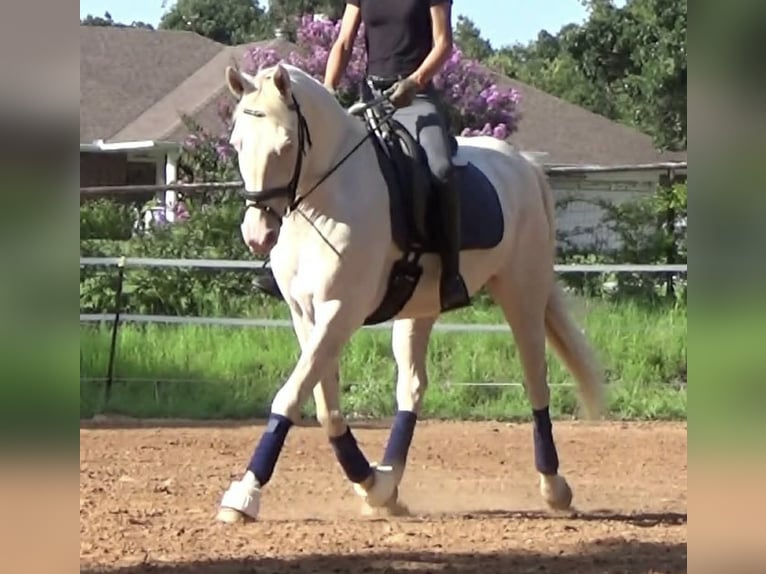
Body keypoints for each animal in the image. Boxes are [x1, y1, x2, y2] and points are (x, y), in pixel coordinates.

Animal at [214, 62, 605, 523]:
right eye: (237, 143)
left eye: (286, 144)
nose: (257, 235)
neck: (327, 199)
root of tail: (521, 163)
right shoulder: (305, 314)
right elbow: (326, 407)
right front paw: (369, 483)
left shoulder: (341, 310)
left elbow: (289, 396)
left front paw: (245, 494)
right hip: (420, 308)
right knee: (413, 387)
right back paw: (388, 483)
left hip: (521, 292)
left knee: (536, 381)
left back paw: (554, 486)